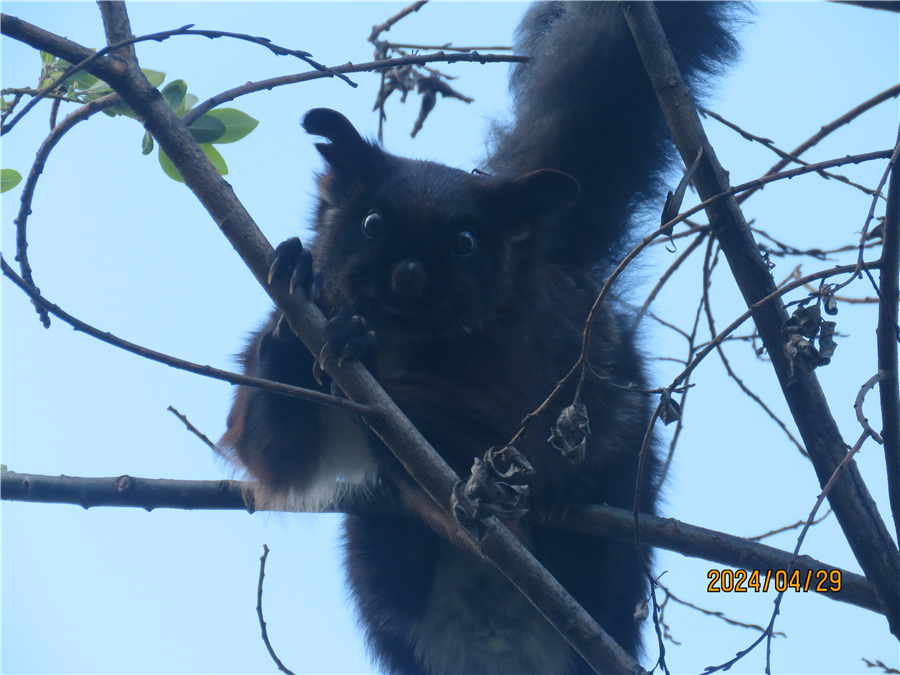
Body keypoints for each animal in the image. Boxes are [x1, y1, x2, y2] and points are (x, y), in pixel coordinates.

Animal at [218, 2, 740, 672]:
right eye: (371, 222)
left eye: (465, 242)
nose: (409, 274)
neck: (403, 335)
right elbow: (274, 452)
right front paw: (293, 313)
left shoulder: (525, 362)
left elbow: (497, 450)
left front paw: (365, 361)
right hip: (378, 565)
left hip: (617, 509)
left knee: (592, 562)